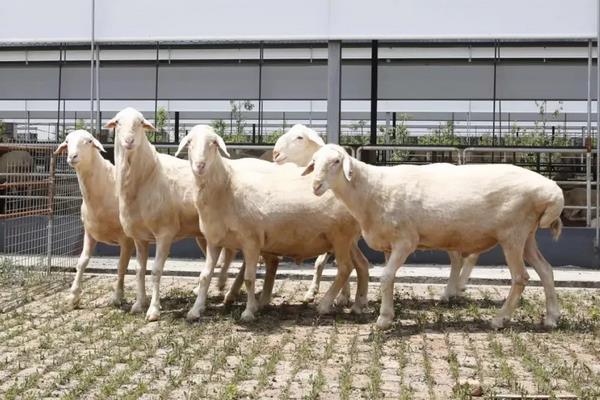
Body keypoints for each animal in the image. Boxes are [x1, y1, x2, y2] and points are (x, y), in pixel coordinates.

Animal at [104, 108, 233, 320]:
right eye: (117, 123)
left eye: (140, 123)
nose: (129, 141)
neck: (148, 174)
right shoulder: (139, 237)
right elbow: (139, 270)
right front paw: (139, 304)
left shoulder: (165, 232)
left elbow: (156, 271)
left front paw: (153, 310)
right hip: (203, 235)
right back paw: (214, 289)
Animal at [175, 125, 370, 322]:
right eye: (189, 142)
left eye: (214, 143)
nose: (200, 165)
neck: (227, 188)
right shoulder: (214, 240)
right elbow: (205, 276)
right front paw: (195, 310)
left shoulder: (251, 241)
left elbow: (250, 278)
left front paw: (248, 311)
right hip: (345, 239)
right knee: (361, 264)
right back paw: (358, 304)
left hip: (341, 236)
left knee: (345, 268)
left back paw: (325, 304)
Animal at [276, 125, 478, 296]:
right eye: (314, 161)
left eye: (299, 137)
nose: (276, 153)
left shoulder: (345, 232)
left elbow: (327, 261)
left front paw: (332, 295)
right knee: (462, 256)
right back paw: (457, 288)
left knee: (461, 257)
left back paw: (454, 289)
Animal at [304, 144, 564, 328]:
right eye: (314, 162)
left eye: (336, 161)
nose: (315, 186)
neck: (370, 190)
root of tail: (550, 190)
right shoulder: (389, 244)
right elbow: (390, 279)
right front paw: (388, 314)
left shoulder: (405, 241)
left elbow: (386, 277)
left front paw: (383, 320)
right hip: (527, 235)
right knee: (546, 270)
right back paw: (551, 317)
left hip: (513, 234)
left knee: (521, 277)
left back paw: (500, 319)